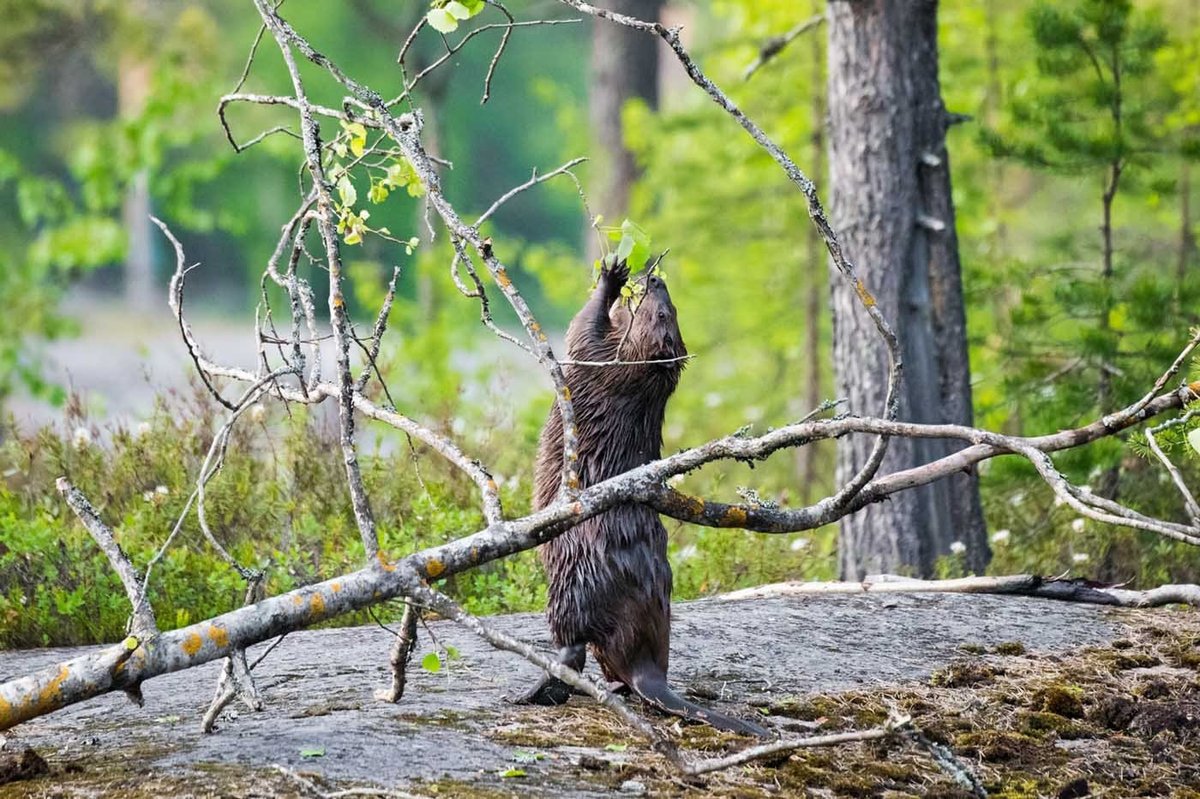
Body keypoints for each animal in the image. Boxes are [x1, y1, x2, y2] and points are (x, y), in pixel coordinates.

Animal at [516, 260, 768, 734]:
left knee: (573, 647)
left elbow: (585, 331)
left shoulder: (609, 360)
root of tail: (649, 673)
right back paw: (611, 688)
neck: (646, 380)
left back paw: (532, 692)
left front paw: (612, 277)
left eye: (665, 312)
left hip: (570, 587)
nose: (655, 279)